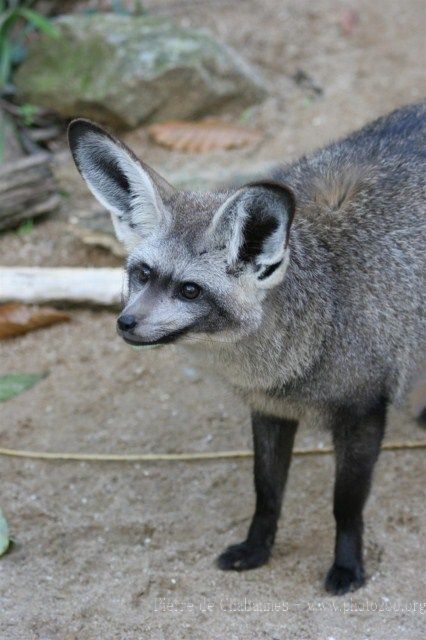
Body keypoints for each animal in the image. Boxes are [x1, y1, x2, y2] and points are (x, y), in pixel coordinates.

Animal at [68, 103, 425, 595]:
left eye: (190, 290)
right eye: (142, 274)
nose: (125, 323)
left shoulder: (363, 413)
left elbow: (346, 505)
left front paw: (348, 565)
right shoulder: (269, 408)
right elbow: (266, 492)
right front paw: (257, 549)